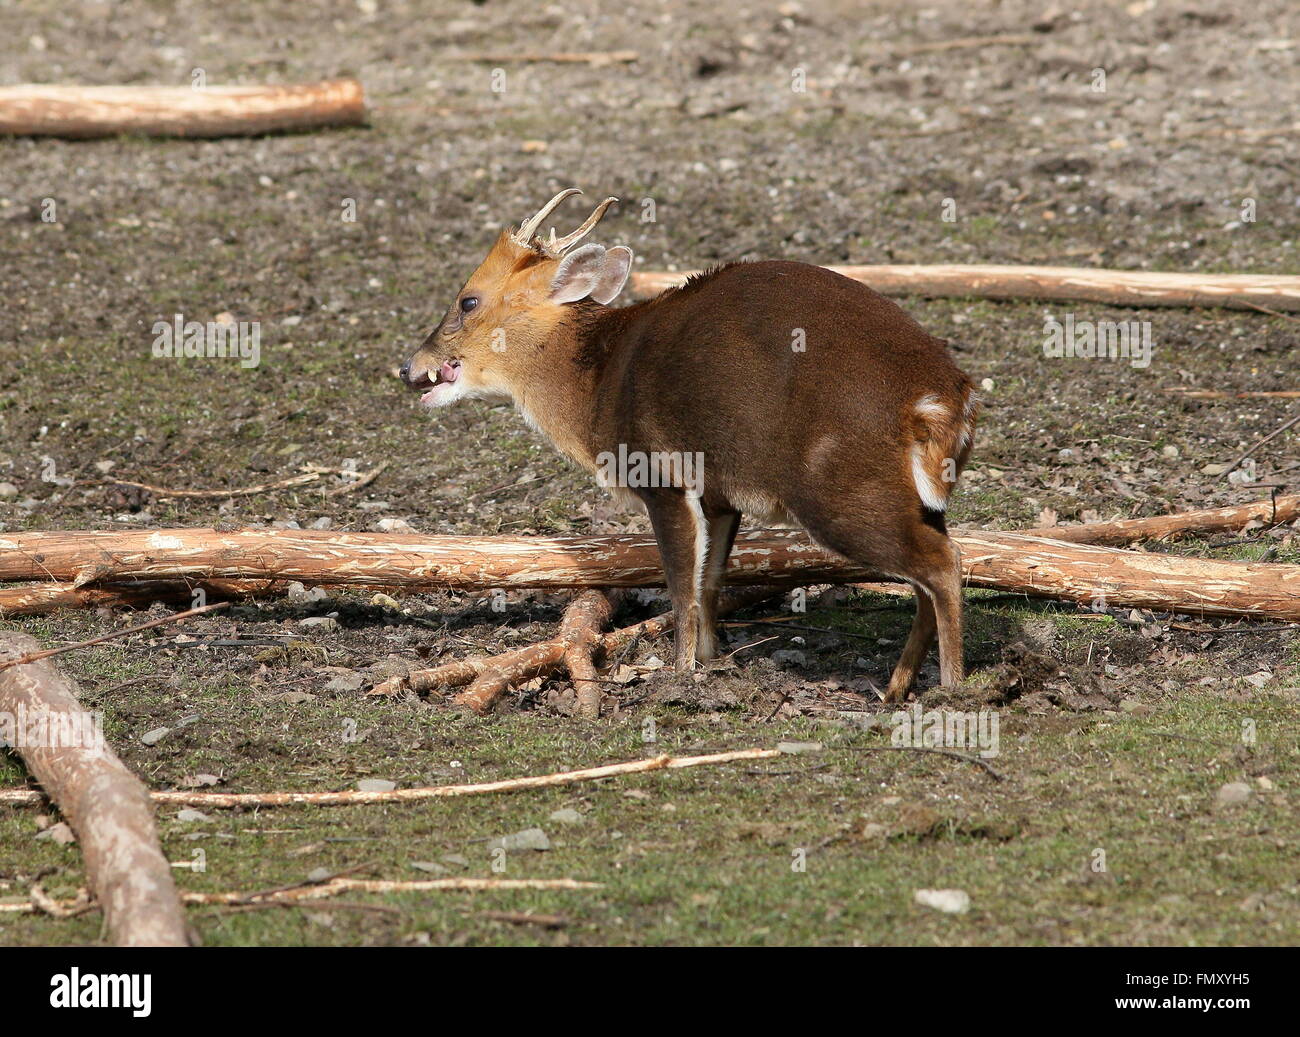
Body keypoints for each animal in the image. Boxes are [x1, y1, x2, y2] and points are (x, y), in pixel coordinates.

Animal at [400, 189, 977, 702]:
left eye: (467, 301)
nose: (409, 368)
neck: (594, 388)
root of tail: (943, 399)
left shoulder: (659, 474)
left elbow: (680, 583)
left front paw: (678, 675)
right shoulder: (719, 493)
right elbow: (710, 579)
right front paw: (712, 658)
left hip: (841, 488)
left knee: (942, 564)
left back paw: (951, 687)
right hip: (913, 498)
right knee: (931, 567)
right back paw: (897, 687)